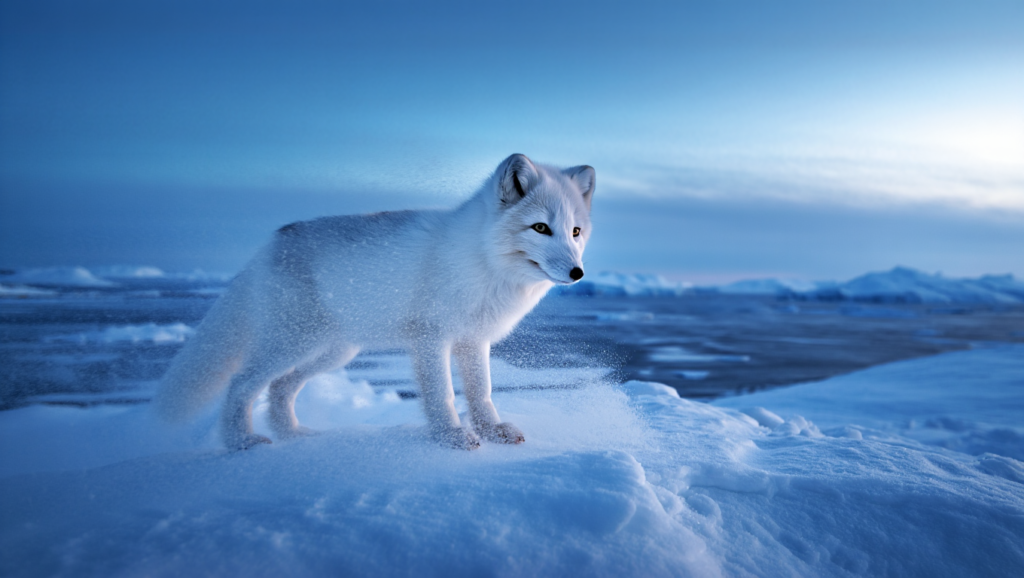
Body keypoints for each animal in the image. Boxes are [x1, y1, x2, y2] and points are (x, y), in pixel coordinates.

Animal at [154, 154, 595, 451]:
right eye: (540, 228)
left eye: (575, 231)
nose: (578, 273)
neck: (483, 261)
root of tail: (271, 243)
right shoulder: (431, 337)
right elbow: (443, 394)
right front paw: (452, 436)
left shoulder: (474, 340)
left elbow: (481, 391)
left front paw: (492, 431)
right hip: (292, 344)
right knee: (241, 383)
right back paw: (241, 443)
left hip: (332, 351)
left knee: (279, 388)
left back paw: (294, 435)